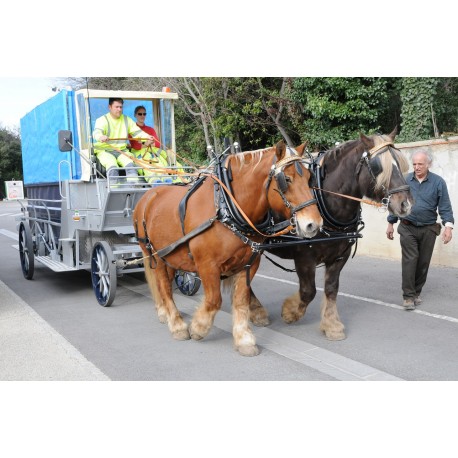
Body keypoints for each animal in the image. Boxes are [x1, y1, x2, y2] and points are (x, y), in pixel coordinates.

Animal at [134, 141, 324, 356]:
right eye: (287, 179)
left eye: (309, 178)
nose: (313, 224)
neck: (226, 208)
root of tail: (149, 195)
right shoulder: (207, 265)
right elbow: (214, 300)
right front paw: (199, 328)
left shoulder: (249, 264)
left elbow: (241, 300)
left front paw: (244, 339)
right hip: (154, 255)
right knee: (164, 287)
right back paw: (176, 324)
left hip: (171, 256)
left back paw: (166, 314)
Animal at [249, 129, 414, 340]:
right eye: (378, 167)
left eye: (399, 163)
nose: (406, 204)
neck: (326, 201)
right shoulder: (304, 257)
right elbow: (308, 291)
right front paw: (290, 312)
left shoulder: (339, 256)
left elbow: (331, 288)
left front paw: (332, 325)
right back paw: (257, 311)